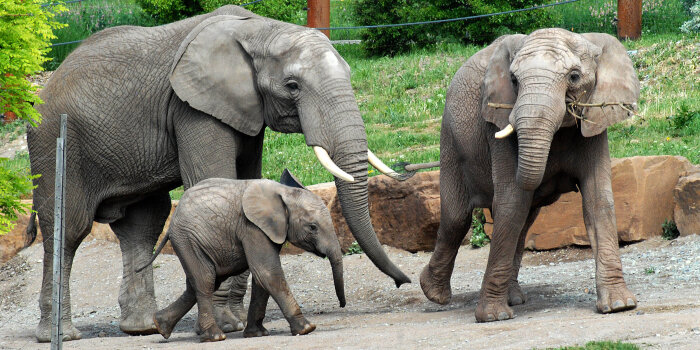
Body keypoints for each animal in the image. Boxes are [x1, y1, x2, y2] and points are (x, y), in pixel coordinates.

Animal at [137, 178, 344, 342]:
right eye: (312, 227)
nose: (342, 305)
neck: (283, 192)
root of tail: (173, 220)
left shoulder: (266, 230)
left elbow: (262, 278)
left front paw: (256, 334)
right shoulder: (252, 227)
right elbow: (267, 272)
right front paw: (307, 328)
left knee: (201, 283)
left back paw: (161, 325)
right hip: (187, 239)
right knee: (205, 281)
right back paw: (215, 337)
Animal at [422, 29, 640, 322]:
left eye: (574, 76)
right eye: (514, 80)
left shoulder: (594, 119)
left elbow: (598, 201)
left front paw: (619, 305)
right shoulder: (498, 122)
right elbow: (511, 202)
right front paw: (493, 317)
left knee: (523, 222)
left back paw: (513, 298)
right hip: (450, 138)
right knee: (458, 218)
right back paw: (433, 293)